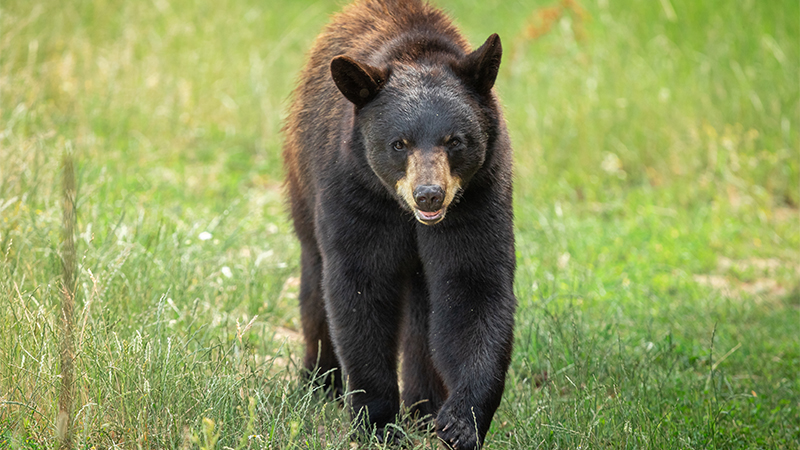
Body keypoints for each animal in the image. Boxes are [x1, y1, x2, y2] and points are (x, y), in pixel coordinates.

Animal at [282, 0, 516, 446]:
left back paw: (424, 407)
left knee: (424, 316)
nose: (429, 195)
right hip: (302, 188)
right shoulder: (355, 192)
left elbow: (474, 287)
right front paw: (377, 421)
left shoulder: (480, 195)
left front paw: (461, 421)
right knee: (315, 284)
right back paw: (320, 380)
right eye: (398, 143)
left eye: (455, 140)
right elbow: (360, 287)